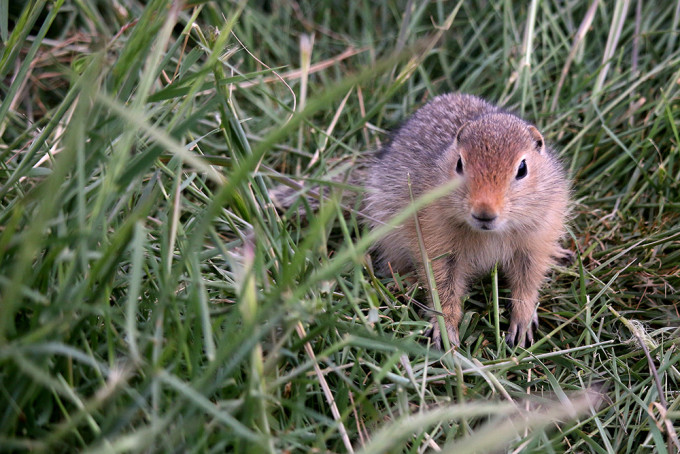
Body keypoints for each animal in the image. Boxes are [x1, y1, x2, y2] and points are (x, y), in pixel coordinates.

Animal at [364, 93, 572, 348]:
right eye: (459, 163)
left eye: (522, 168)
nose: (484, 212)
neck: (489, 233)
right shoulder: (436, 241)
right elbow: (442, 287)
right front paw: (446, 332)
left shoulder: (535, 241)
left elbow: (527, 284)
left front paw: (522, 324)